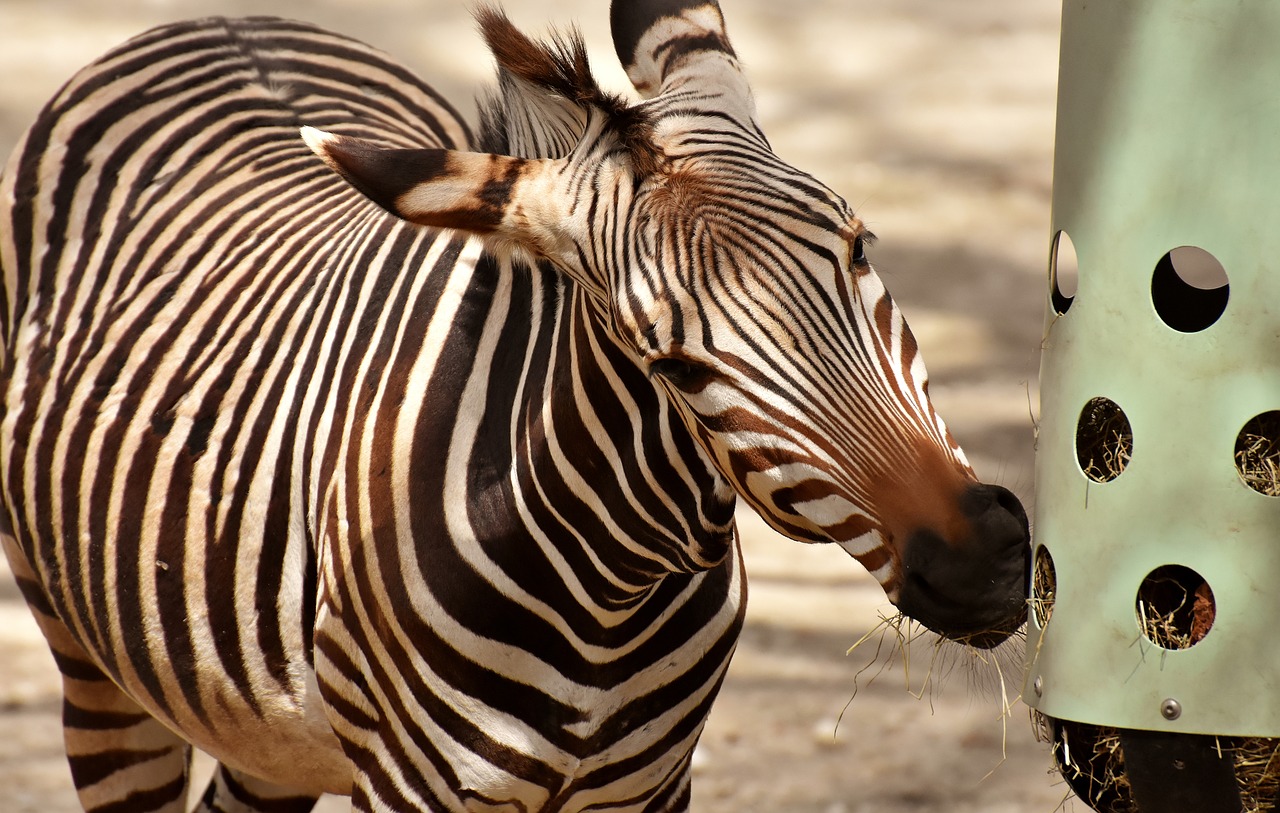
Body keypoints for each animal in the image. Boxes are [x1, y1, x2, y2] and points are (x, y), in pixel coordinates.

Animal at [0, 3, 1024, 809]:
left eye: (860, 247)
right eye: (669, 359)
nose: (983, 560)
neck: (613, 592)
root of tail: (226, 19)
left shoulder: (652, 786)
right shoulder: (416, 786)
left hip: (270, 721)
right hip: (91, 662)